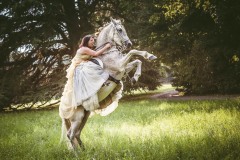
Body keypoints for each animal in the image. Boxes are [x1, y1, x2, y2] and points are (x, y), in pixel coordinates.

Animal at [60, 17, 158, 152]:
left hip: (85, 115)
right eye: (119, 29)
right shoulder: (120, 66)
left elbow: (137, 61)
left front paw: (135, 78)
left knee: (77, 134)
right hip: (77, 118)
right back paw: (78, 154)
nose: (128, 44)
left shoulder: (122, 68)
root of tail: (62, 111)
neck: (106, 53)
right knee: (70, 135)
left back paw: (86, 152)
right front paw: (149, 55)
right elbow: (134, 53)